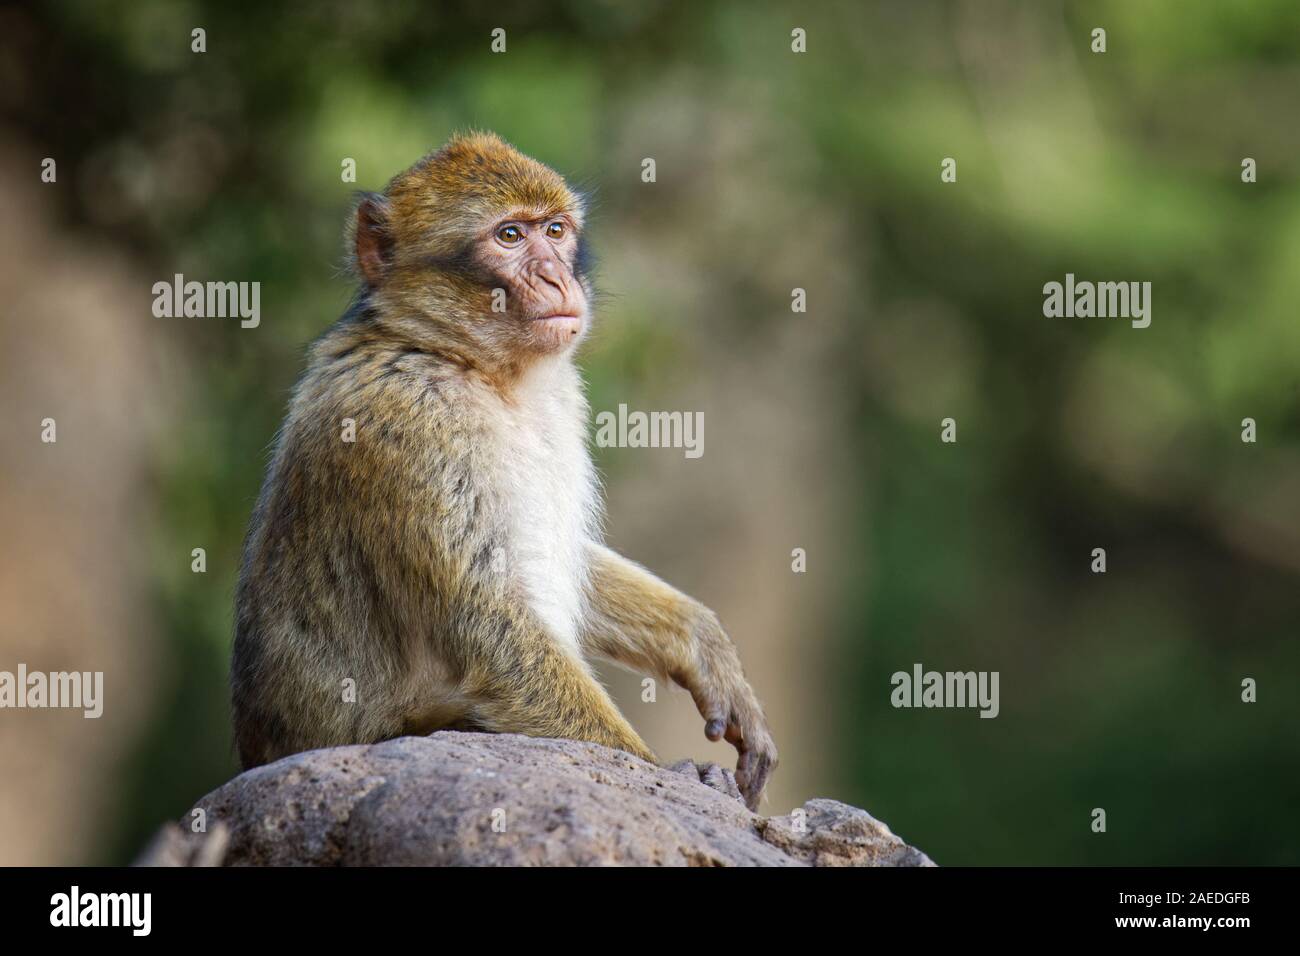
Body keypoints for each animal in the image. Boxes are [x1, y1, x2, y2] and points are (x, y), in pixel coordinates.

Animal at [231, 131, 777, 809]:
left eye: (555, 230)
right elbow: (493, 637)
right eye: (510, 236)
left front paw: (702, 644)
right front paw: (662, 773)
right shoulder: (408, 423)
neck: (474, 367)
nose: (555, 276)